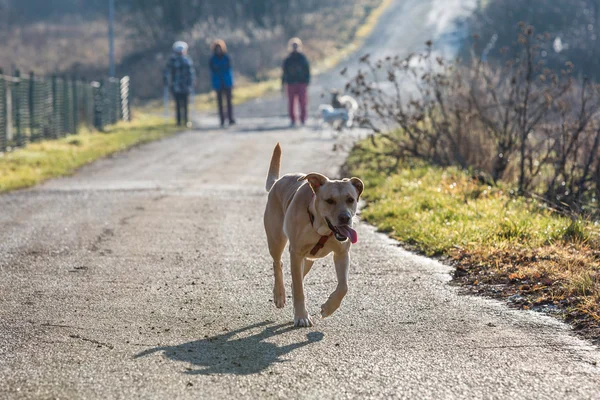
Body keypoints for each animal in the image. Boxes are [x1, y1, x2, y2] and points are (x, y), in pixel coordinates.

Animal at [264, 144, 366, 328]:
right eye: (329, 200)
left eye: (350, 199)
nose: (345, 218)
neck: (321, 228)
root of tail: (277, 182)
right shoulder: (296, 253)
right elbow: (299, 289)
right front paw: (301, 316)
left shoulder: (342, 253)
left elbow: (344, 286)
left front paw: (328, 308)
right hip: (276, 240)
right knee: (278, 264)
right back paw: (279, 295)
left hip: (309, 259)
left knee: (297, 276)